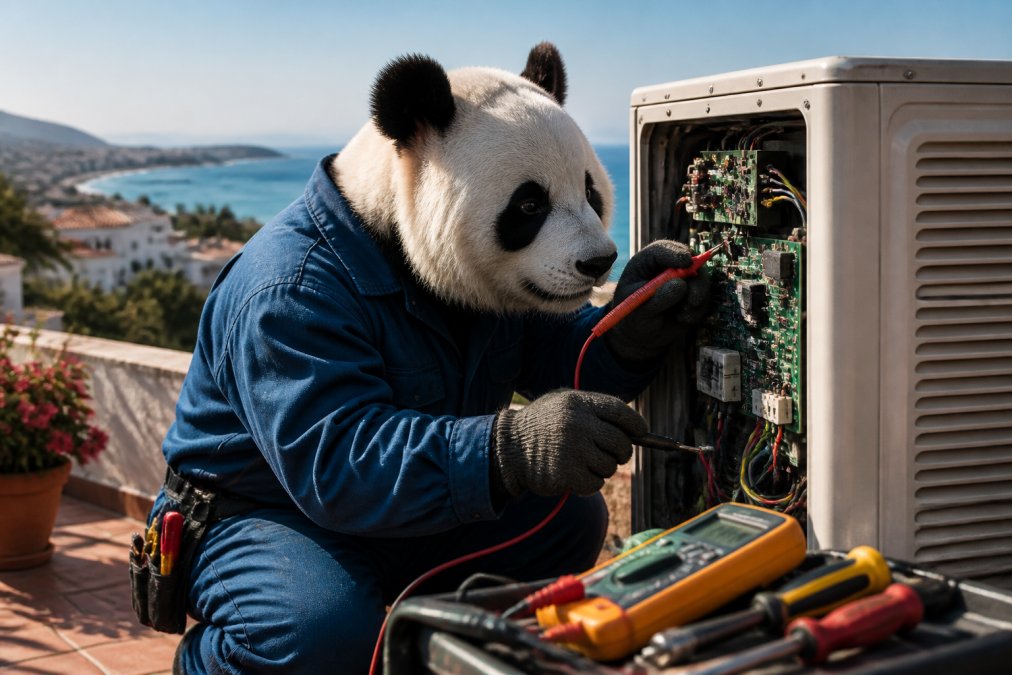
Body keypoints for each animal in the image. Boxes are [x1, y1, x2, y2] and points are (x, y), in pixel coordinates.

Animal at [161, 43, 706, 674]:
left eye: (592, 192)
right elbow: (336, 446)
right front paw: (559, 437)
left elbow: (565, 351)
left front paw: (654, 295)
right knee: (306, 614)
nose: (599, 261)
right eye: (529, 204)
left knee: (562, 526)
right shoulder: (286, 308)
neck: (384, 233)